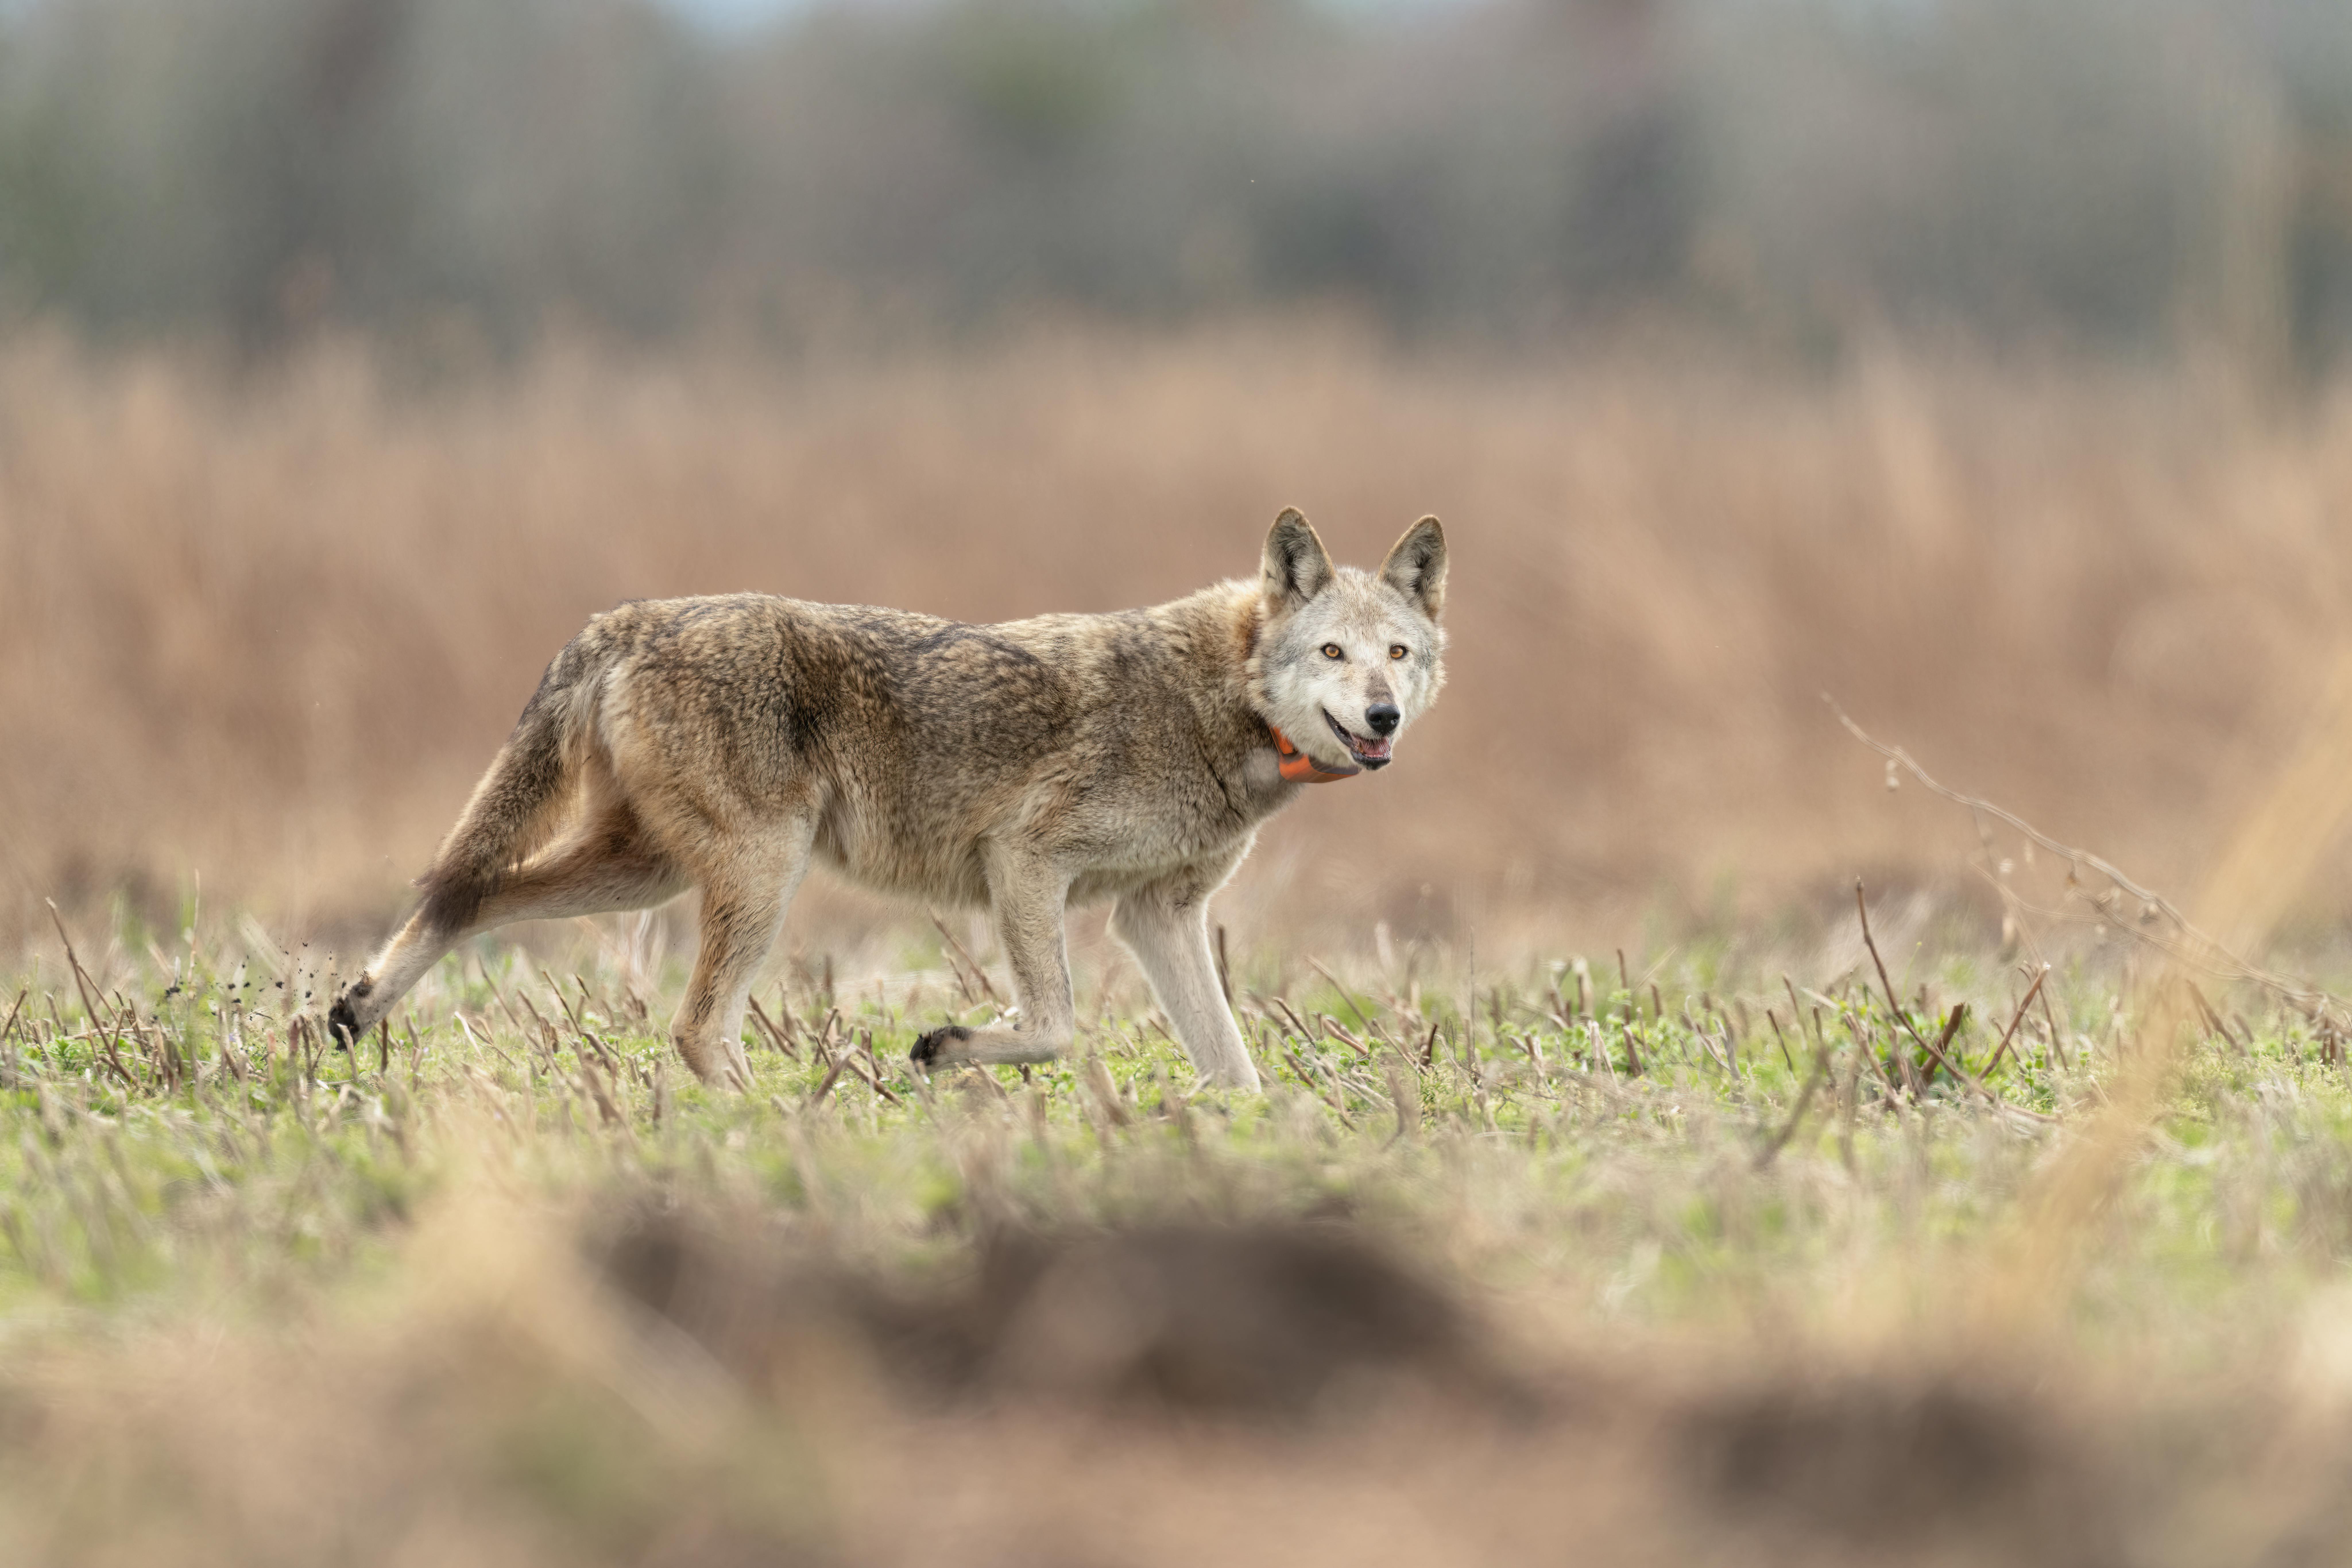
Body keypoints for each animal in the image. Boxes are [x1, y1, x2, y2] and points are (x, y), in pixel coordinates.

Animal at [326, 509, 1447, 1091]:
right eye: (1332, 653)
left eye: (1398, 653)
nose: (1384, 716)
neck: (1223, 703)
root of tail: (627, 619)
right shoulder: (1025, 860)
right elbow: (1056, 1024)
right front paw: (947, 1047)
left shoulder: (1157, 915)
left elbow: (1235, 1069)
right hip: (755, 876)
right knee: (691, 1026)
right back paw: (785, 1127)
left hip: (648, 875)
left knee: (468, 895)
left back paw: (354, 1009)